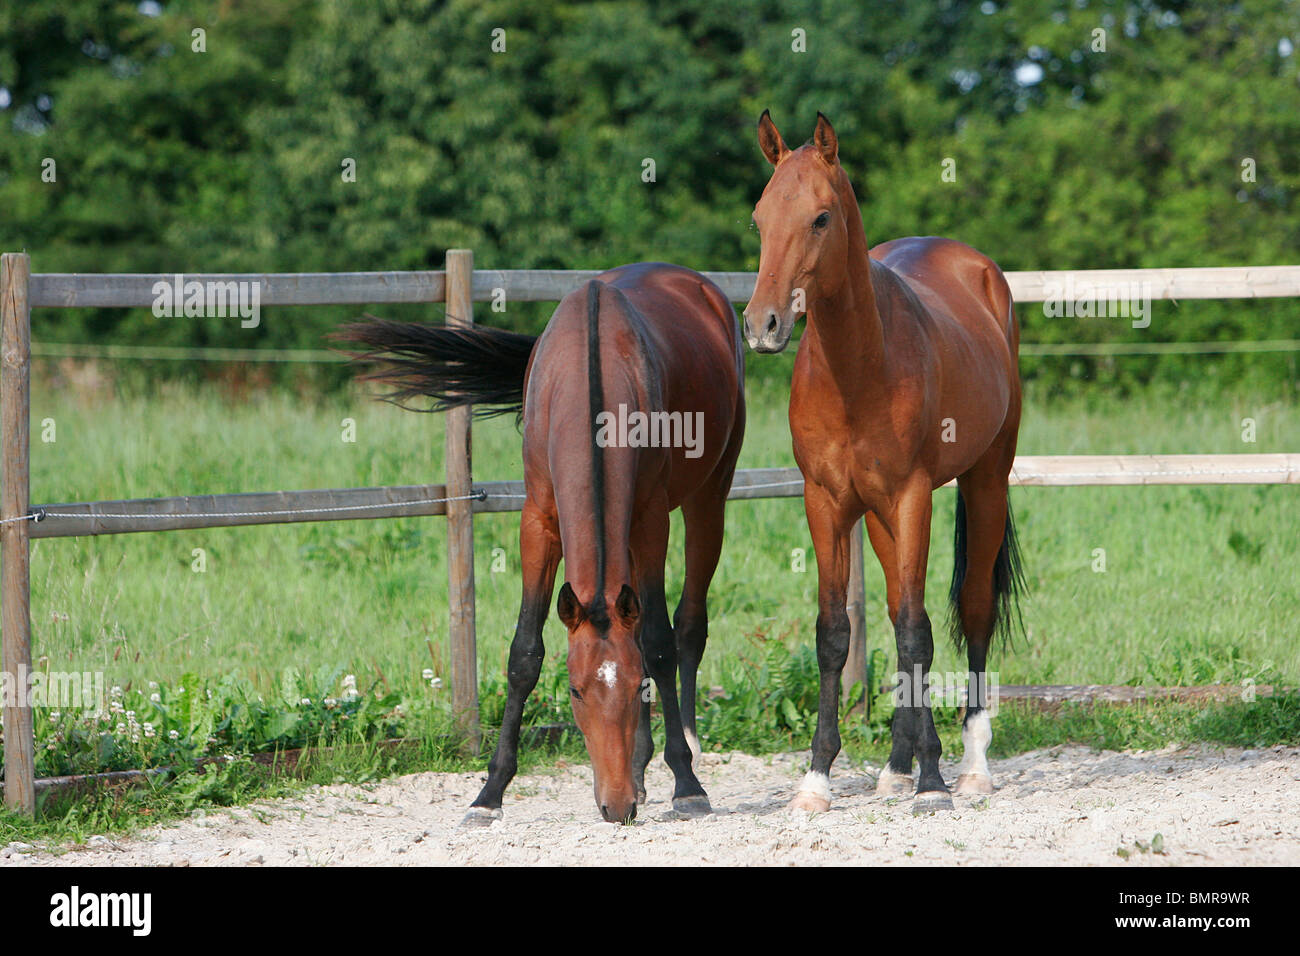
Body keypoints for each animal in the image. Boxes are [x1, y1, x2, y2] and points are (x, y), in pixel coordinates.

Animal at [336, 262, 746, 824]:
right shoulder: (538, 521)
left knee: (687, 625)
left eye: (632, 685)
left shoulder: (649, 520)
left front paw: (686, 784)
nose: (615, 806)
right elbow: (524, 654)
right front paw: (489, 793)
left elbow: (658, 645)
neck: (590, 378)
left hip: (708, 498)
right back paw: (639, 773)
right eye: (575, 690)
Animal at [741, 111, 1024, 813]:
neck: (856, 370)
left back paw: (971, 766)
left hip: (986, 480)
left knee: (971, 607)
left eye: (820, 217)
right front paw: (817, 779)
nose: (762, 325)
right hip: (876, 516)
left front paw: (935, 782)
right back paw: (898, 764)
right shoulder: (827, 502)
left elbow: (918, 629)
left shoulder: (913, 495)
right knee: (899, 605)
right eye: (759, 219)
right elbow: (836, 633)